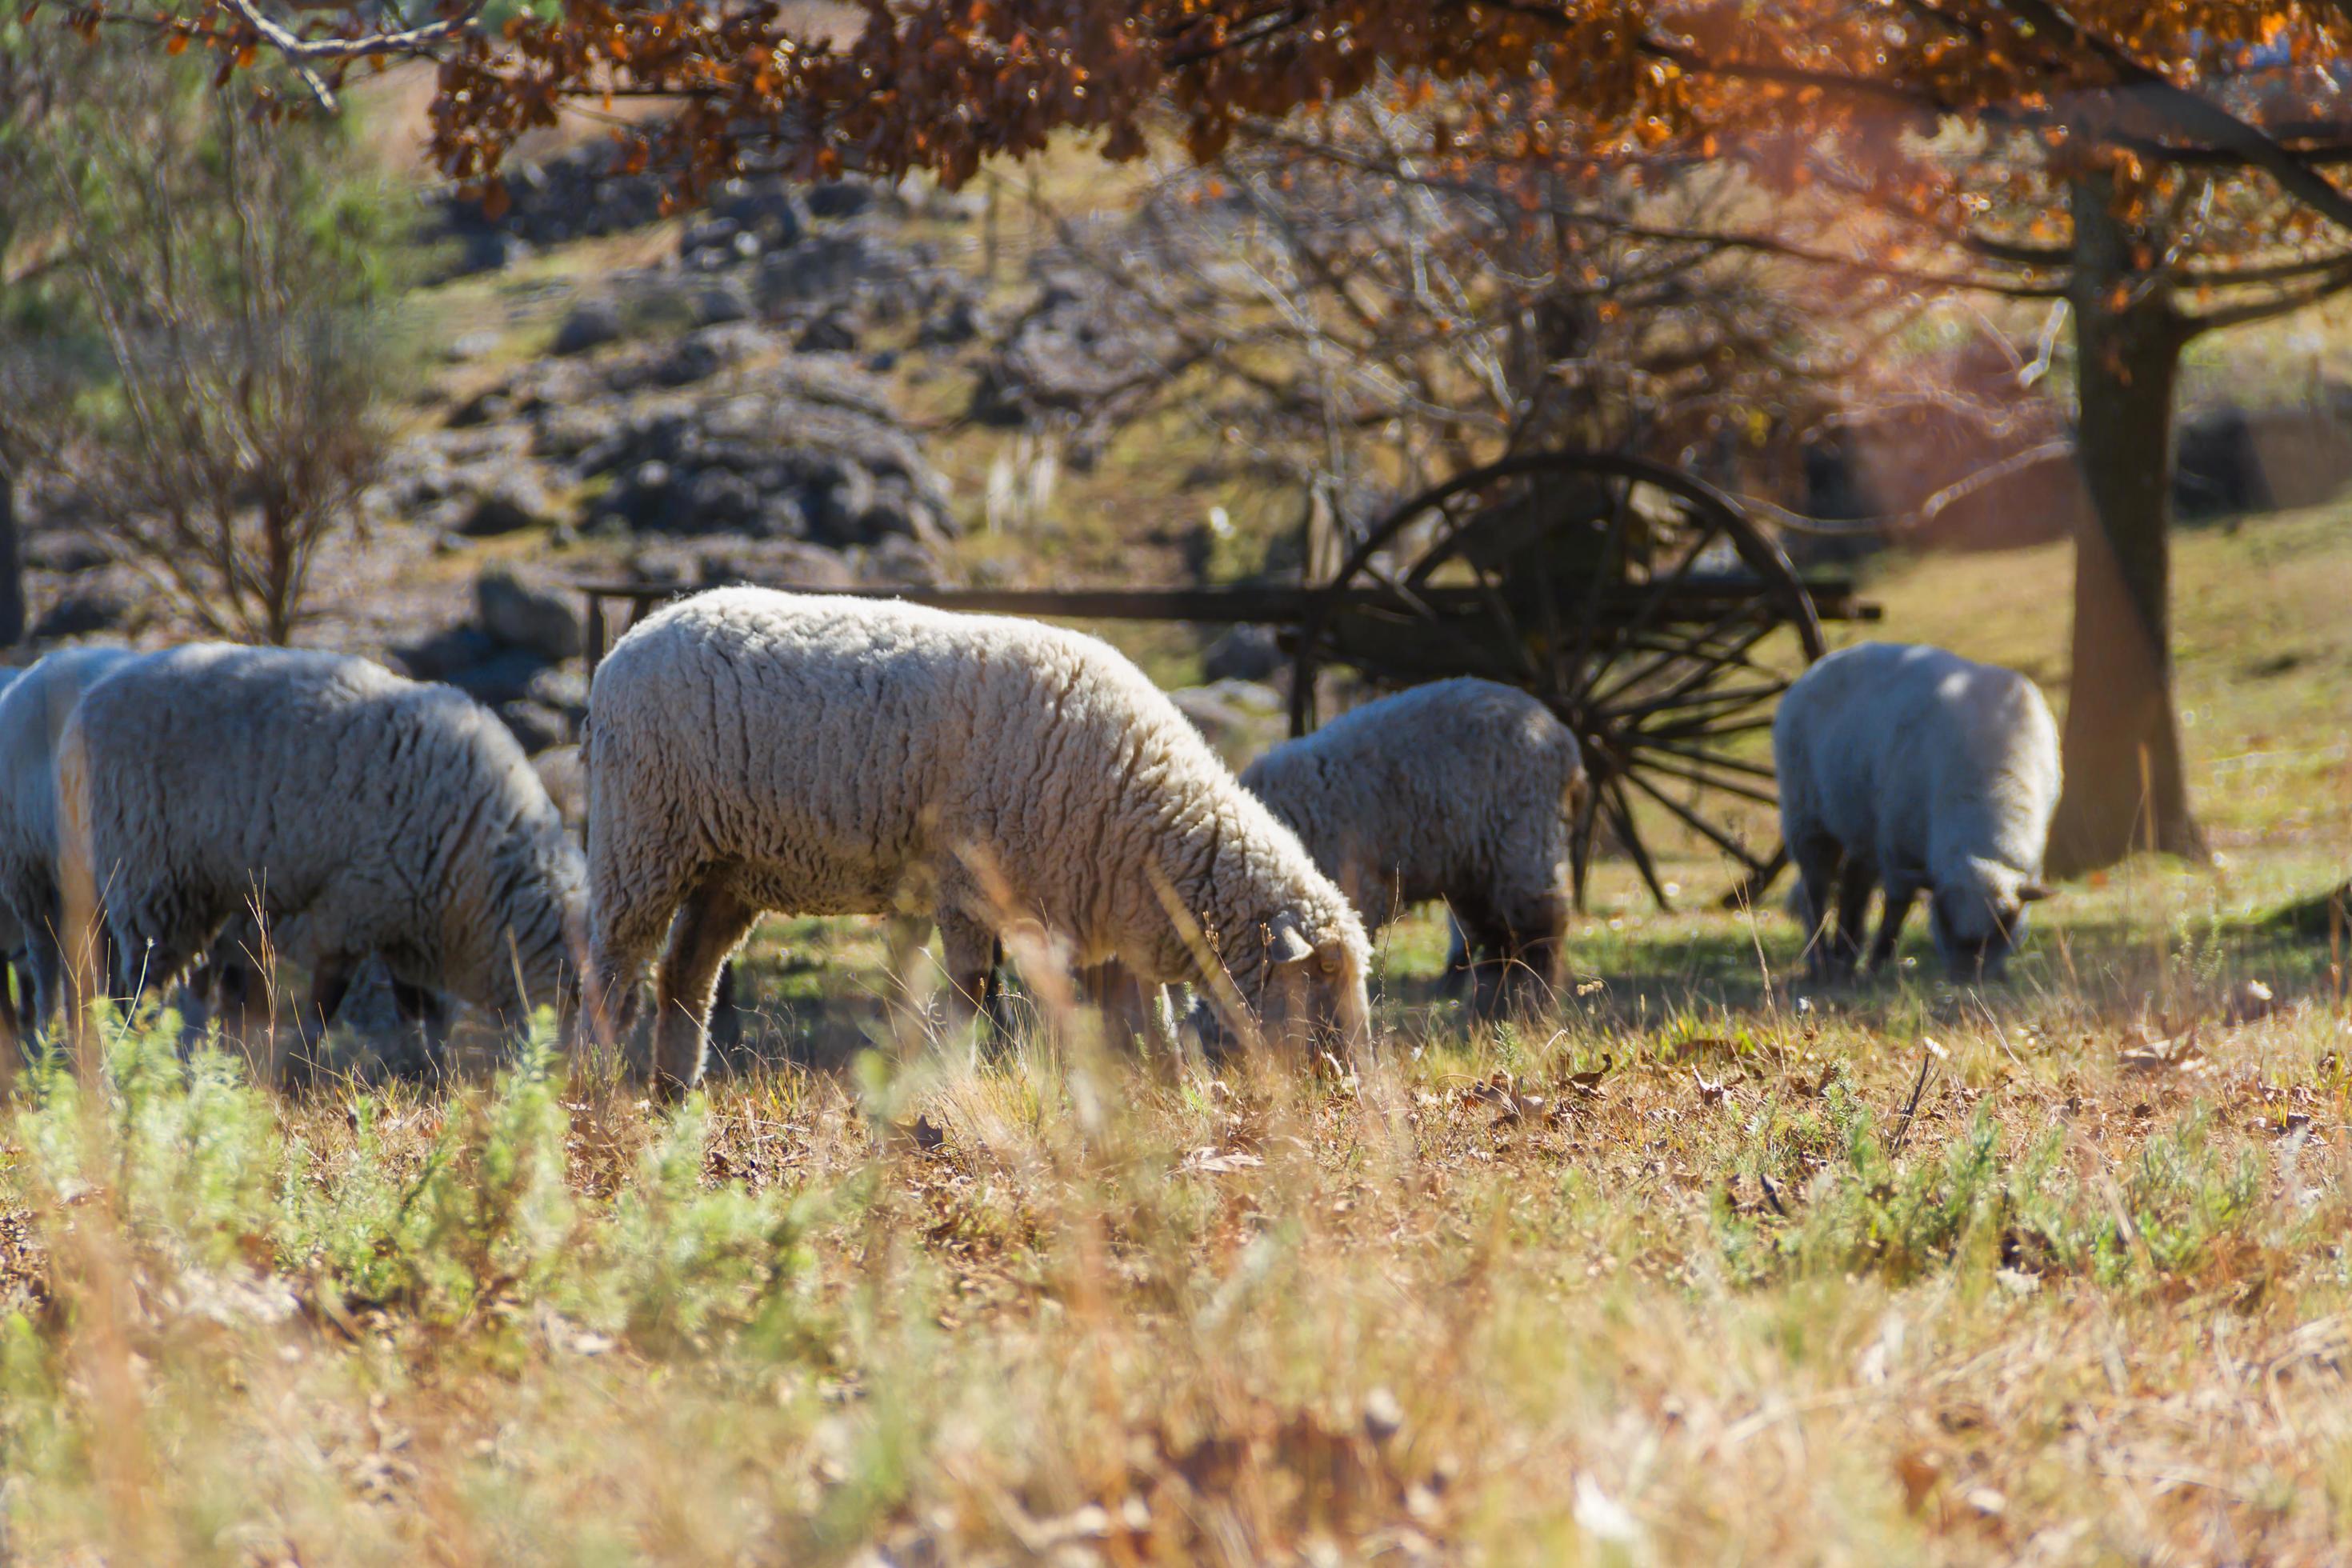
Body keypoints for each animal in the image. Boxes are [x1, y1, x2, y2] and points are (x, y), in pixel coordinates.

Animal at [62, 644, 586, 1086]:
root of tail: (88, 702)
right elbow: (324, 1007)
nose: (562, 1084)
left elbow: (421, 1011)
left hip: (201, 893)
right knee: (140, 991)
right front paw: (302, 1074)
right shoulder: (352, 908)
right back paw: (140, 1067)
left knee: (187, 989)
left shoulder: (406, 919)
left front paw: (428, 1073)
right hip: (149, 878)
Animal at [576, 587, 1373, 1090]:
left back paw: (674, 1092)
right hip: (642, 836)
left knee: (686, 974)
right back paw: (599, 1088)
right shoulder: (968, 891)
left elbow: (1151, 1021)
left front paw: (1173, 1094)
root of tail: (624, 646)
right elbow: (973, 997)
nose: (1344, 1090)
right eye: (1322, 982)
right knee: (612, 971)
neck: (1142, 802)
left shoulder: (1106, 909)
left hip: (727, 867)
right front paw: (962, 1084)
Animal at [1242, 677, 1590, 1020]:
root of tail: (1564, 739)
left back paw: (1528, 1007)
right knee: (1497, 937)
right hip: (1474, 866)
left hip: (1523, 839)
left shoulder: (1352, 885)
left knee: (1538, 929)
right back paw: (1488, 1011)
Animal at [1768, 639, 2060, 982]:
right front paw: (1878, 966)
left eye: (2003, 924)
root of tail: (1818, 667)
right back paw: (1822, 963)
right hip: (1806, 818)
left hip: (1863, 824)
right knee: (1814, 890)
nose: (1965, 978)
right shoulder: (1899, 850)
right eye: (1943, 919)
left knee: (1854, 883)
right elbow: (1896, 909)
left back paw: (1845, 956)